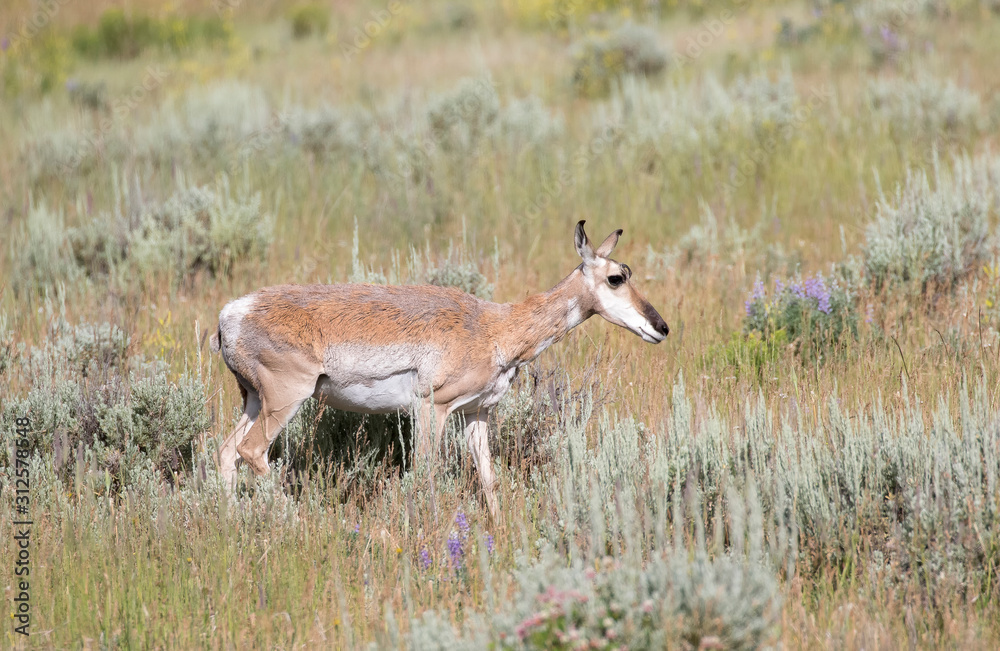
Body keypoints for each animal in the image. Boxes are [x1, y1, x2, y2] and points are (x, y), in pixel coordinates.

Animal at [209, 221, 668, 518]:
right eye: (615, 277)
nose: (662, 327)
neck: (495, 327)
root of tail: (230, 313)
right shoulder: (433, 409)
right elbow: (425, 475)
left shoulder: (476, 414)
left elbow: (489, 479)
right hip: (286, 399)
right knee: (251, 450)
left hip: (254, 401)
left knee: (226, 450)